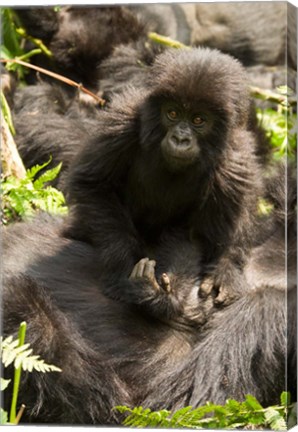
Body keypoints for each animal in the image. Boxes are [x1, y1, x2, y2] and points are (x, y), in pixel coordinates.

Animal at [64, 47, 260, 316]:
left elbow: (203, 236)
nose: (180, 139)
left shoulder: (236, 161)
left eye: (199, 120)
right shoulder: (123, 121)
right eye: (173, 113)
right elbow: (93, 185)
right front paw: (124, 268)